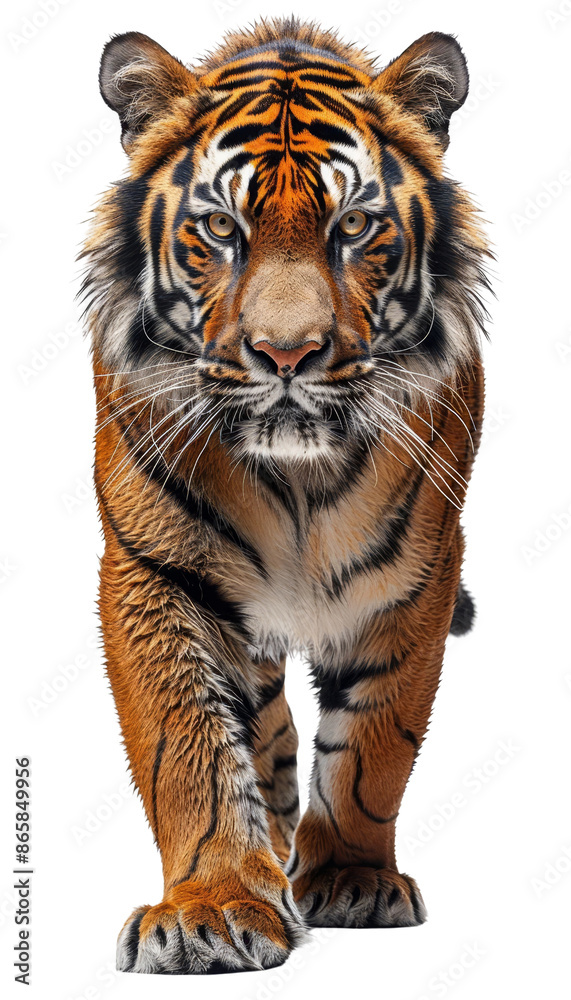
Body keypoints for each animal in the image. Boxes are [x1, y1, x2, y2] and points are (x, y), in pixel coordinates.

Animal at [82, 18, 490, 975]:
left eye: (354, 226)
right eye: (220, 229)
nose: (287, 353)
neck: (295, 479)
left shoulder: (415, 579)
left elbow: (375, 748)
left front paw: (350, 878)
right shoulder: (150, 571)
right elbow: (187, 748)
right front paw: (209, 907)